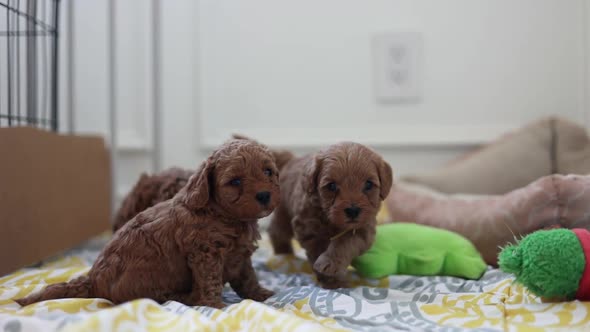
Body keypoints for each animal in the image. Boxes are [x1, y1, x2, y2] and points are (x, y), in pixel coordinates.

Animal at [270, 143, 394, 288]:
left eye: (368, 184)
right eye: (332, 186)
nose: (353, 210)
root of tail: (291, 159)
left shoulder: (364, 229)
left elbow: (345, 243)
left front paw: (330, 265)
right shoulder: (308, 228)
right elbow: (318, 250)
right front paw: (332, 281)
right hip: (283, 212)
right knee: (277, 231)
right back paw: (283, 253)